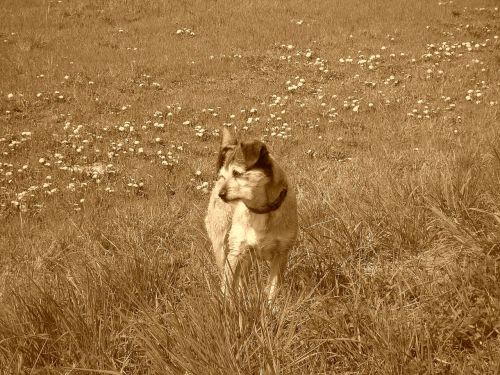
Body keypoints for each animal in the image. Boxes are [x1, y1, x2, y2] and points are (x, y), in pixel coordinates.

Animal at [206, 128, 298, 304]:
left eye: (236, 173)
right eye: (223, 176)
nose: (221, 194)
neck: (260, 211)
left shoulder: (281, 254)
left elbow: (273, 289)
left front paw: (270, 307)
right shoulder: (235, 252)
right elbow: (227, 285)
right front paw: (228, 306)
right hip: (222, 245)